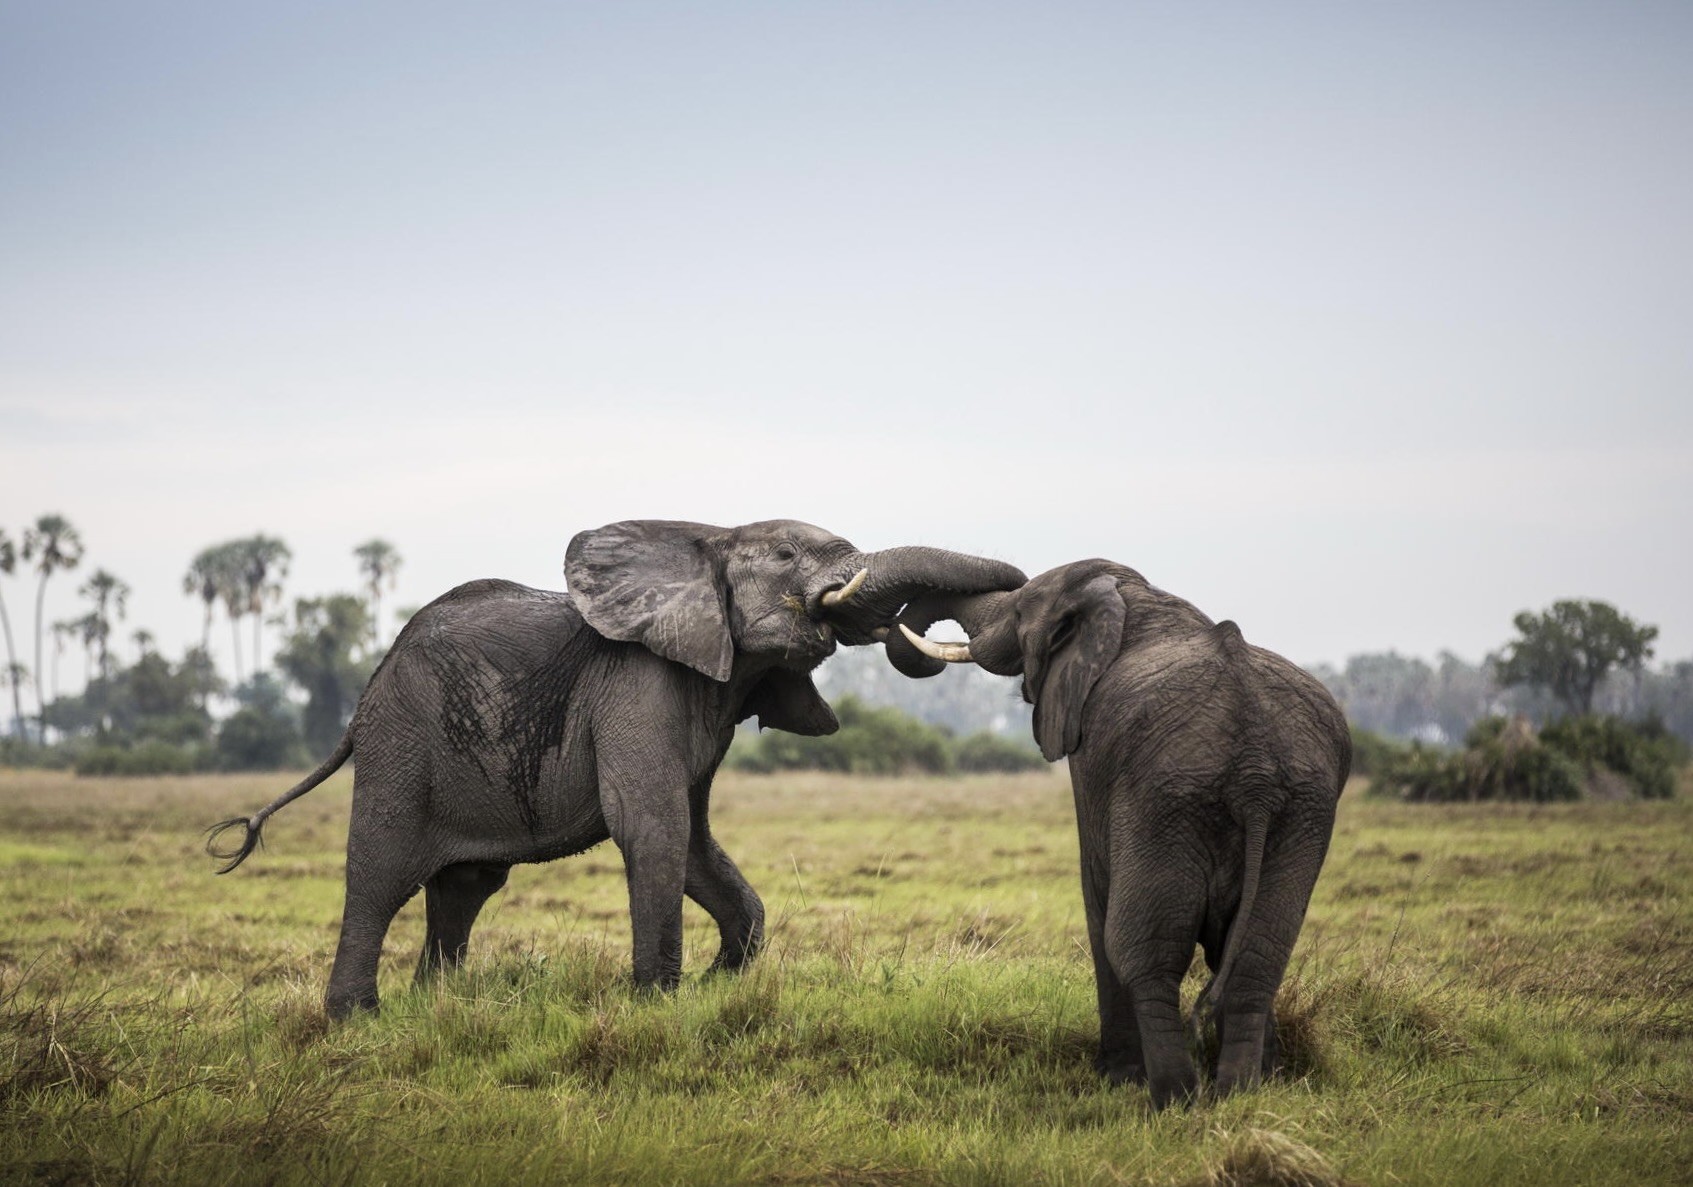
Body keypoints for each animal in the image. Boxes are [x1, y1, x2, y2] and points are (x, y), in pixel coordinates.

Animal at [211, 518, 1029, 1015]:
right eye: (788, 557)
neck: (707, 539)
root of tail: (363, 697)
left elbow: (693, 838)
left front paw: (713, 986)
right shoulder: (638, 683)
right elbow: (652, 826)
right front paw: (660, 1004)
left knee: (464, 888)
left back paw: (434, 1006)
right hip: (399, 739)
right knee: (380, 872)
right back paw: (357, 1019)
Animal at [900, 558, 1347, 1104]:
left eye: (1021, 610)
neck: (1132, 597)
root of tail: (1255, 774)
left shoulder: (1091, 755)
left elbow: (1098, 893)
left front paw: (1115, 1076)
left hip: (1165, 801)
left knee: (1146, 950)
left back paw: (1172, 1099)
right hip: (1299, 813)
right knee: (1258, 955)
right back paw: (1239, 1095)